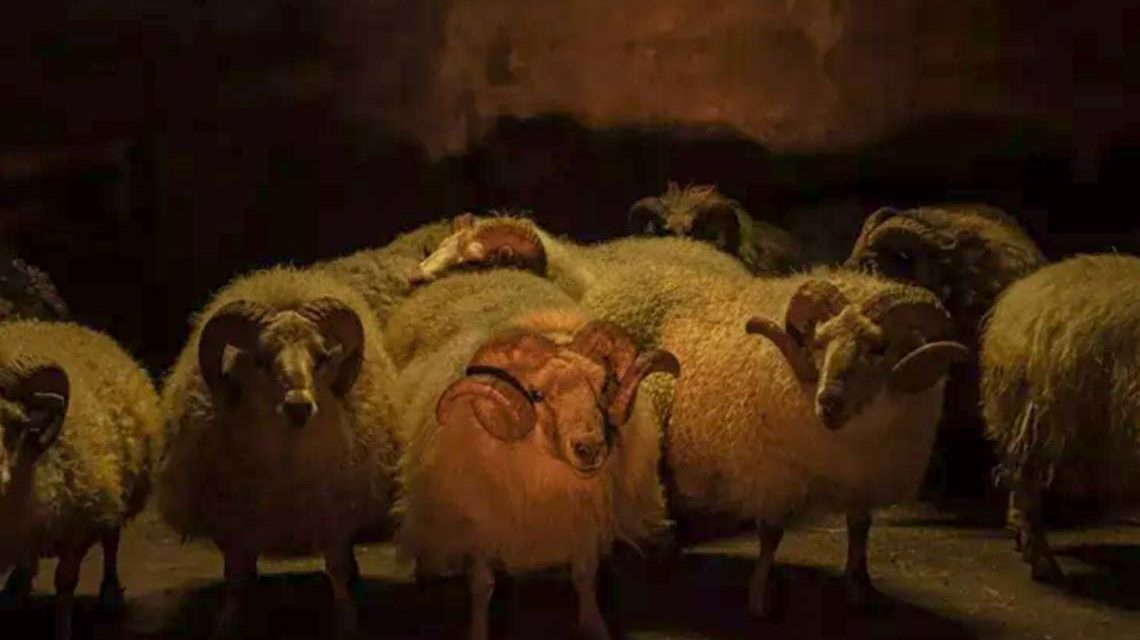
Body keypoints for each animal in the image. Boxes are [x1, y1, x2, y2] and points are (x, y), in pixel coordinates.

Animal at [0, 320, 161, 640]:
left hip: (114, 496)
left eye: (15, 423)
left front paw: (63, 632)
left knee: (111, 542)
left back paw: (109, 595)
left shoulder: (77, 530)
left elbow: (65, 584)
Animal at [156, 266, 400, 638]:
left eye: (322, 358)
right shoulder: (236, 526)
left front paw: (346, 622)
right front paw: (227, 622)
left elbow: (338, 571)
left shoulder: (335, 518)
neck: (288, 468)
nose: (298, 406)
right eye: (260, 360)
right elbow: (235, 578)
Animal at [391, 267, 679, 640]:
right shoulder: (479, 525)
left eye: (603, 386)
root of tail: (484, 271)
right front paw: (477, 631)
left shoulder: (583, 520)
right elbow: (482, 585)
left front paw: (595, 626)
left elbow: (584, 576)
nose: (589, 448)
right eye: (537, 395)